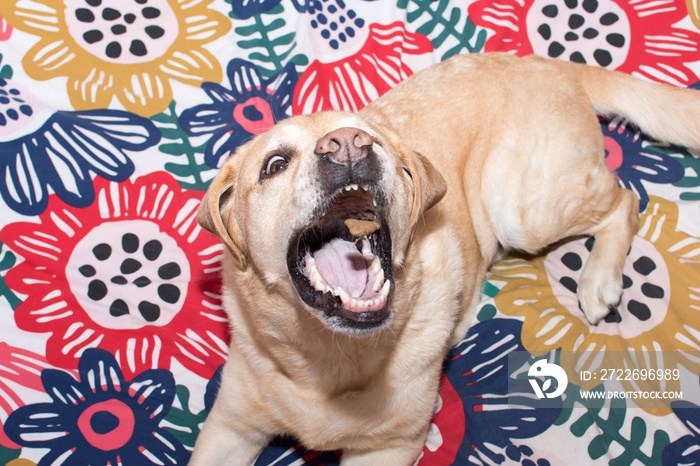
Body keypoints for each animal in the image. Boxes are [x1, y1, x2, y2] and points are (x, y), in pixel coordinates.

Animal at [190, 52, 700, 464]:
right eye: (275, 165)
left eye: (373, 139)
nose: (349, 143)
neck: (333, 358)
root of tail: (550, 64)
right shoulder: (228, 427)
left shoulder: (390, 446)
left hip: (526, 210)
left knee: (624, 203)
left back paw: (598, 281)